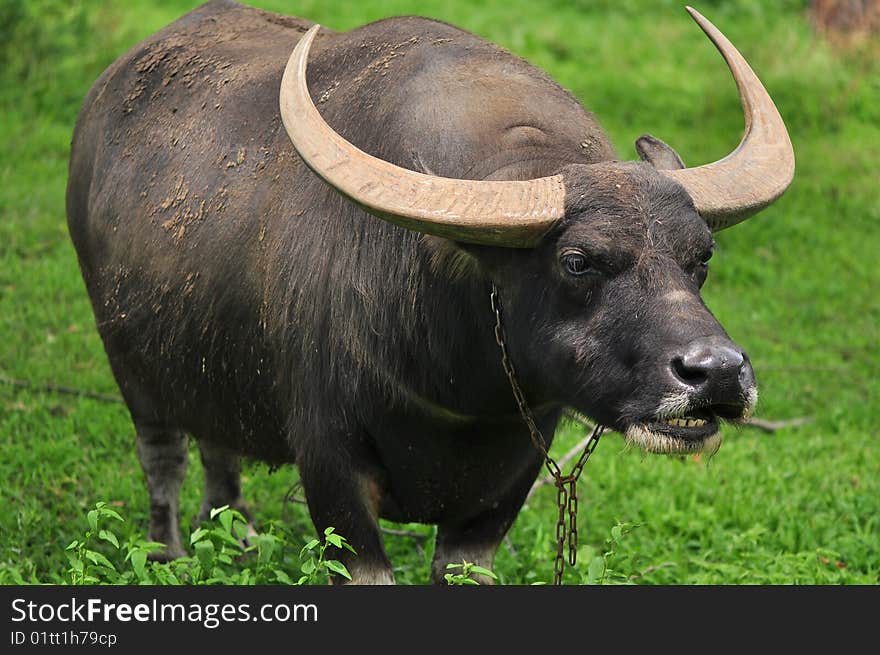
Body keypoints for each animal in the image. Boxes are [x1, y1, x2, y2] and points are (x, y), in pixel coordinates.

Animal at [65, 0, 796, 584]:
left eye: (701, 257)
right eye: (577, 260)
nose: (717, 373)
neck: (456, 381)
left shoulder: (504, 488)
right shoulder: (331, 472)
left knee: (219, 444)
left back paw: (234, 536)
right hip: (128, 364)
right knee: (163, 456)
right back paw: (168, 552)